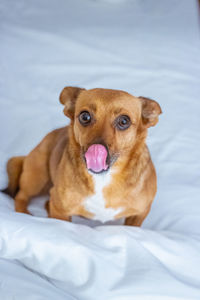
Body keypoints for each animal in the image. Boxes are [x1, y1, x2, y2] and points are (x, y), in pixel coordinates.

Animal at [3, 86, 162, 225]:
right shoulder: (60, 210)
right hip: (36, 177)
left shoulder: (140, 214)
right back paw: (23, 213)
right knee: (21, 196)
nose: (96, 149)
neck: (103, 179)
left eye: (124, 121)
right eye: (85, 116)